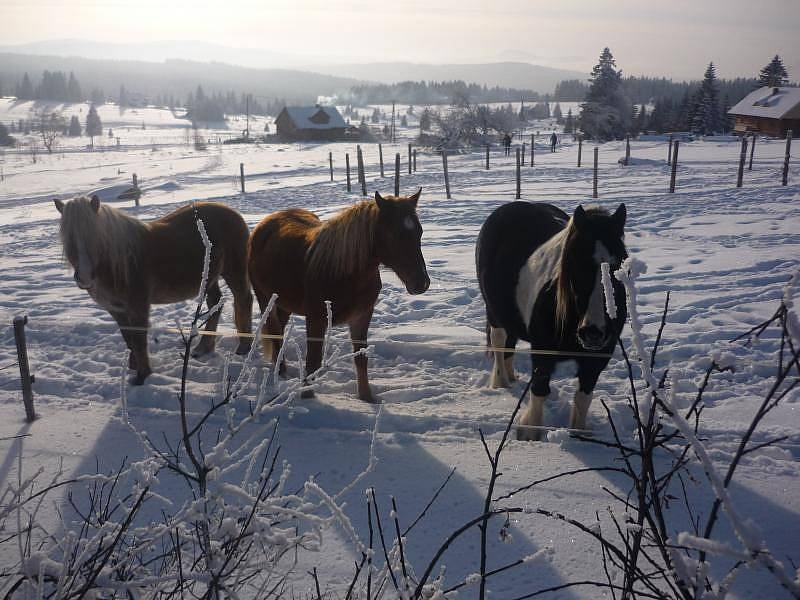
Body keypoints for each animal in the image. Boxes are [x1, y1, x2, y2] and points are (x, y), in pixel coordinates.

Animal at [55, 197, 253, 384]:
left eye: (94, 236)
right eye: (69, 238)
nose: (84, 277)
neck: (121, 259)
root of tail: (232, 213)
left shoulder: (138, 306)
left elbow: (139, 340)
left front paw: (142, 376)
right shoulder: (116, 310)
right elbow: (128, 338)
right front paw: (133, 366)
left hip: (233, 270)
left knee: (244, 299)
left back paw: (244, 347)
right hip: (209, 279)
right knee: (215, 304)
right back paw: (203, 348)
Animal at [250, 188, 432, 404]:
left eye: (419, 232)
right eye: (393, 234)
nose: (421, 283)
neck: (342, 272)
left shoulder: (362, 317)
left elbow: (360, 358)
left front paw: (366, 397)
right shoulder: (316, 320)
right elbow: (313, 361)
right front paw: (308, 398)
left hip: (284, 304)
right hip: (266, 300)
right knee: (275, 332)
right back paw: (280, 372)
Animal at [472, 202, 628, 440]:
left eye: (618, 264)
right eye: (575, 263)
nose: (593, 332)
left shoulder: (598, 359)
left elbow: (584, 397)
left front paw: (578, 435)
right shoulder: (542, 353)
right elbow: (539, 390)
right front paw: (531, 434)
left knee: (510, 344)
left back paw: (511, 377)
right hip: (495, 313)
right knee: (499, 342)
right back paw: (501, 383)